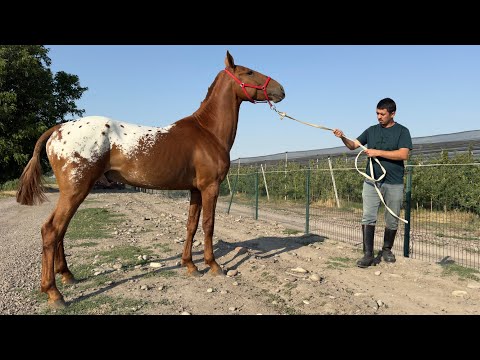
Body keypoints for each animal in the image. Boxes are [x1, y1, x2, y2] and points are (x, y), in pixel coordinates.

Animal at [15, 51, 284, 310]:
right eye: (249, 72)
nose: (281, 90)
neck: (207, 132)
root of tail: (58, 129)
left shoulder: (195, 190)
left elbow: (191, 225)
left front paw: (190, 265)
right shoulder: (210, 187)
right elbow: (209, 225)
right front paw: (213, 265)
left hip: (72, 191)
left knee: (59, 230)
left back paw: (66, 275)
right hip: (76, 190)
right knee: (52, 230)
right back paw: (54, 293)